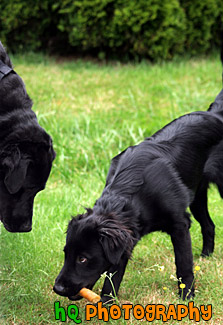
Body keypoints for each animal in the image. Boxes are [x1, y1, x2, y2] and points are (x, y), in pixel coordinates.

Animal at [54, 95, 223, 302]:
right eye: (66, 254)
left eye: (83, 259)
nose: (57, 288)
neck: (130, 197)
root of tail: (216, 114)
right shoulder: (126, 240)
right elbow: (113, 278)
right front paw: (107, 304)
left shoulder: (180, 225)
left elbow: (183, 266)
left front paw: (187, 297)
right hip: (197, 196)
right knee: (209, 225)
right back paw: (206, 256)